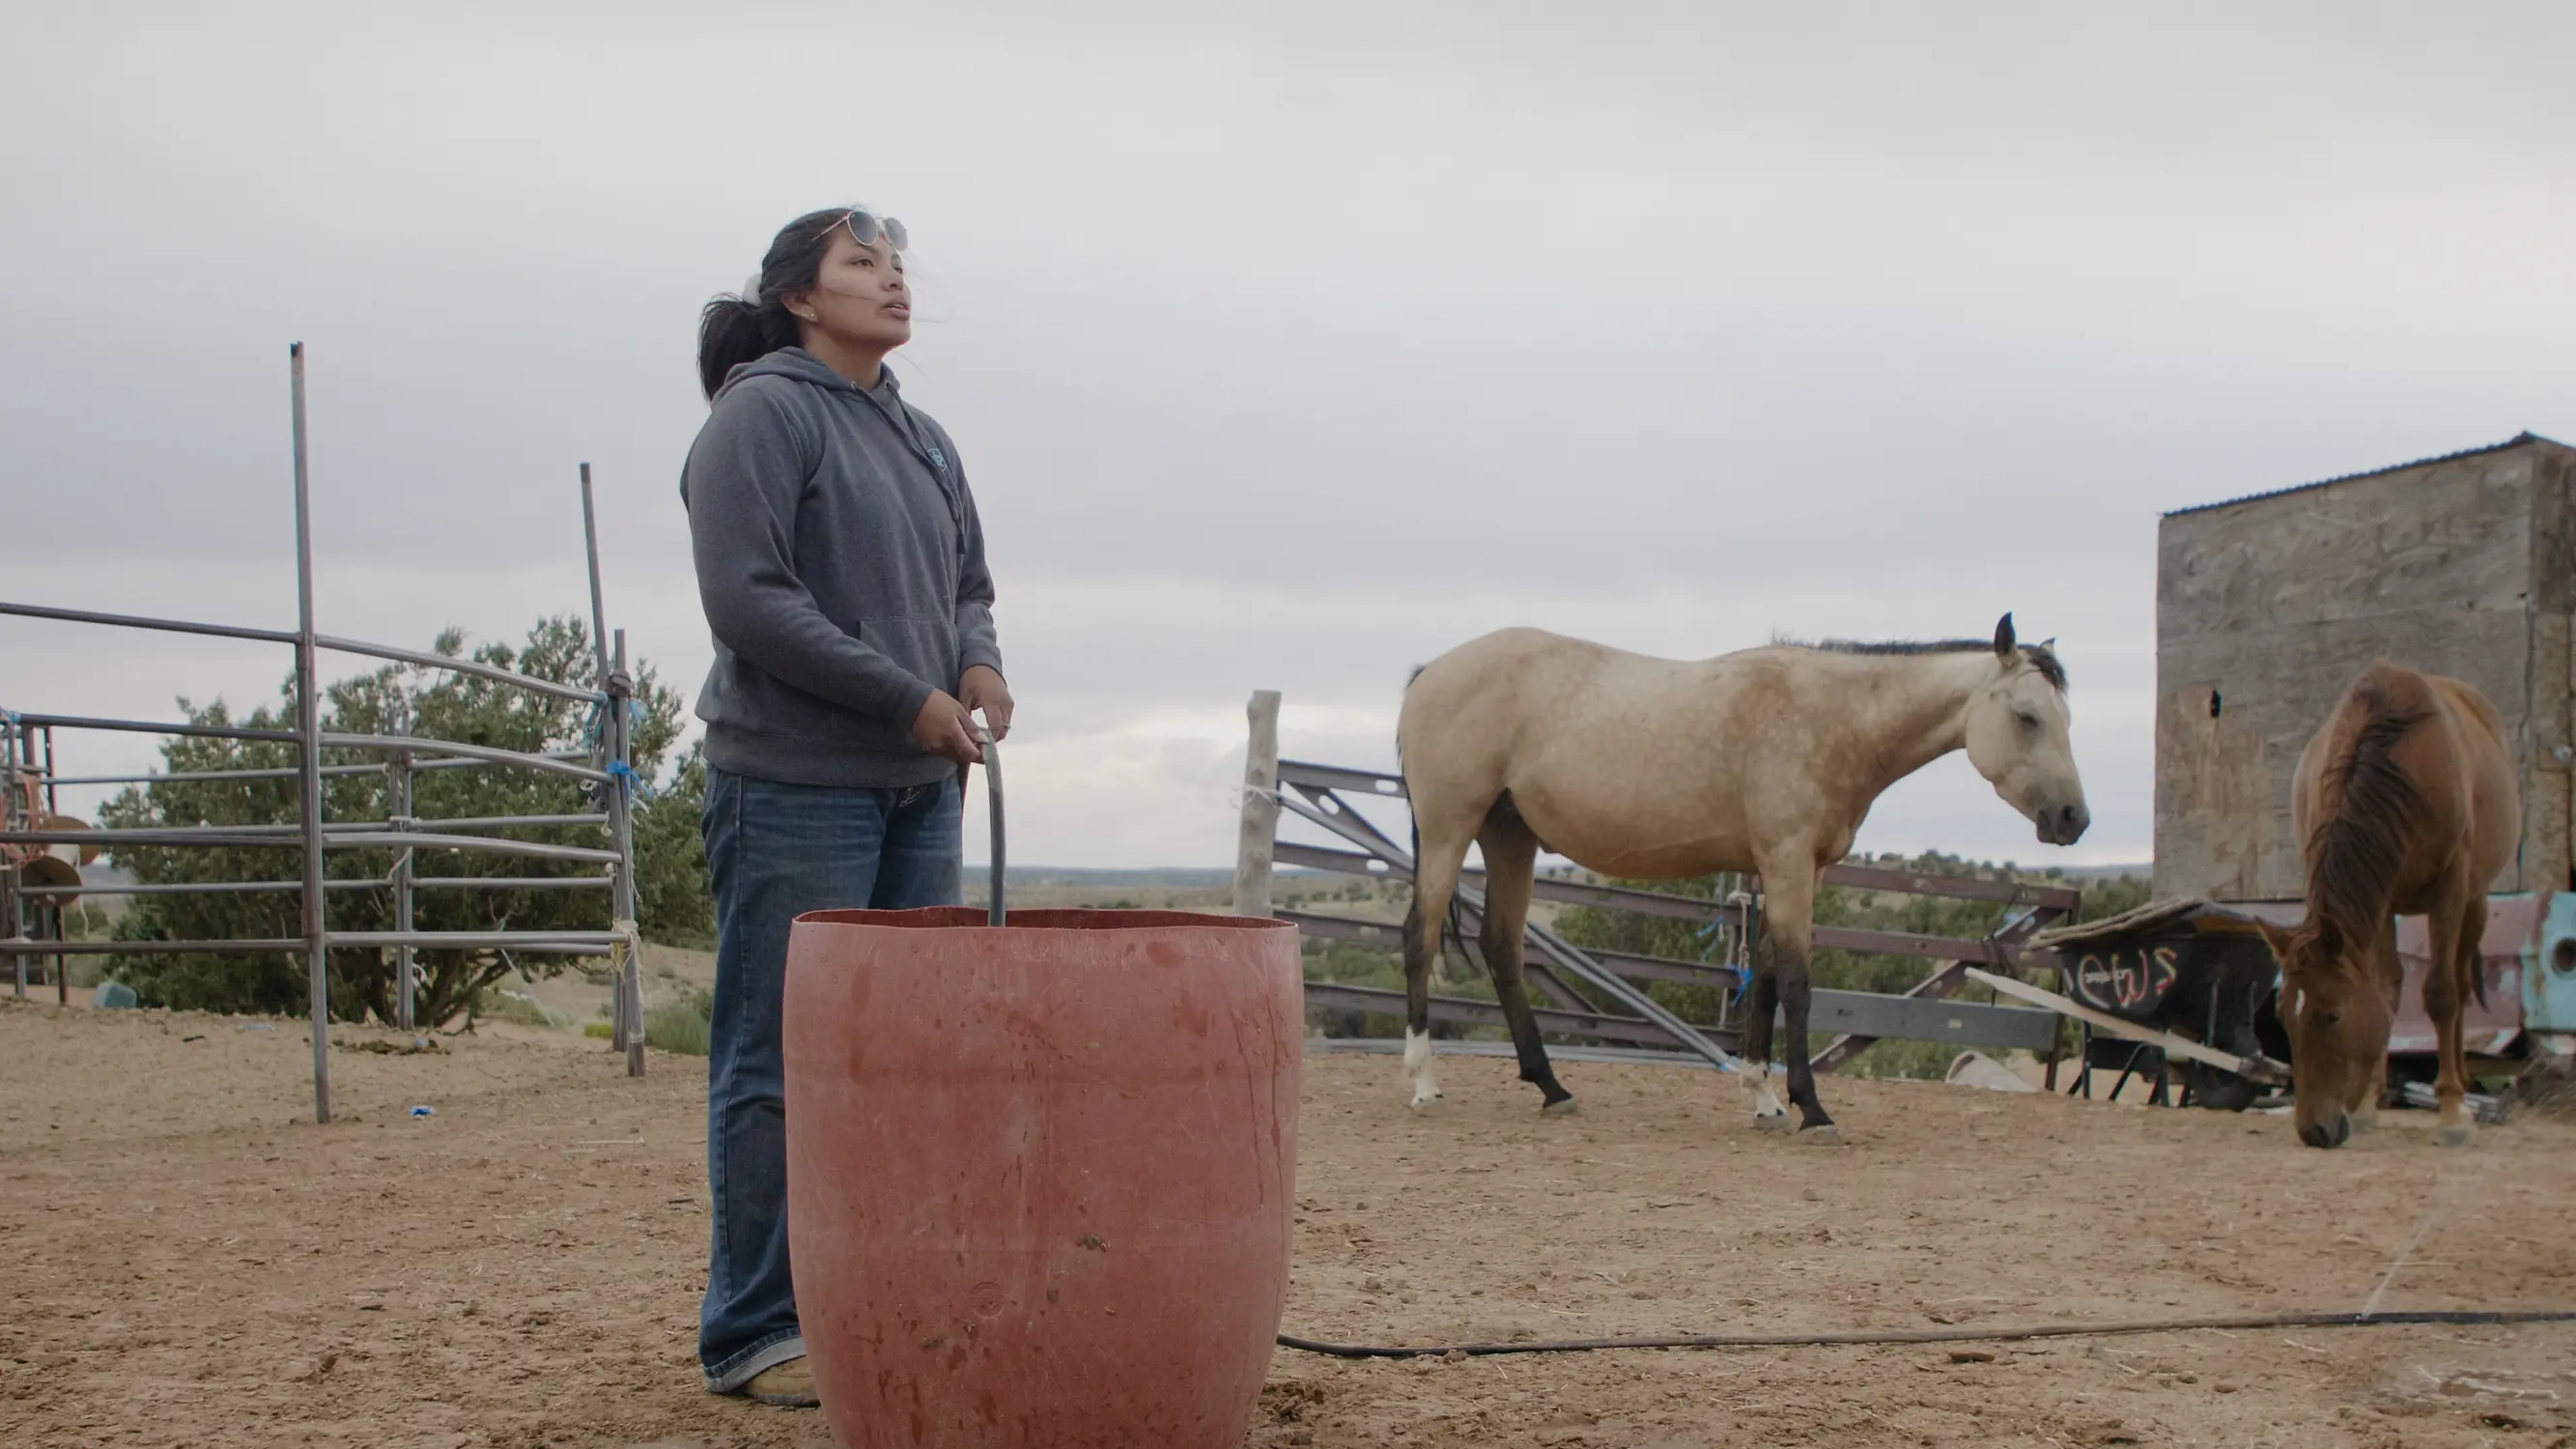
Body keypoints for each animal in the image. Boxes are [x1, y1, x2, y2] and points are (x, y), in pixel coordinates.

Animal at [1395, 613, 2090, 1142]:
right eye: (2028, 716)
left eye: (2065, 719)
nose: (2073, 818)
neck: (1832, 718)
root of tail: (1430, 672)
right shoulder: (1786, 863)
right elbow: (1798, 985)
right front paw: (1812, 1111)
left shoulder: (1796, 871)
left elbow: (1767, 980)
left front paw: (1765, 1099)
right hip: (1449, 830)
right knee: (1418, 940)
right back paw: (1424, 1081)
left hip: (1509, 838)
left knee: (1501, 948)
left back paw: (1551, 1086)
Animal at [2251, 664, 2520, 1150]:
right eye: (2281, 1017)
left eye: (2333, 1014)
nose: (2314, 1131)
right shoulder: (2379, 900)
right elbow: (2384, 990)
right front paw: (2366, 1106)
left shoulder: (2450, 889)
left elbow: (2441, 995)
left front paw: (2451, 1112)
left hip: (2475, 902)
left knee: (2460, 986)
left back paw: (2462, 1088)